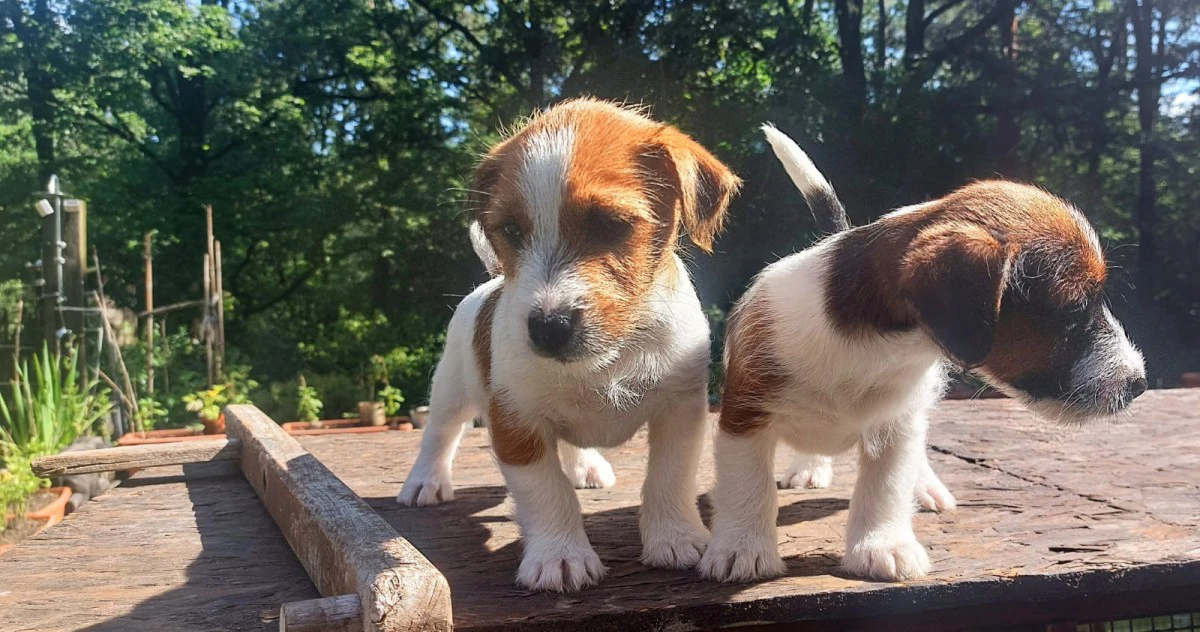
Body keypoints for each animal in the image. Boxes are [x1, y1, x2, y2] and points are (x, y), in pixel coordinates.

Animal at [398, 98, 744, 594]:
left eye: (610, 225)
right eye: (511, 230)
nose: (548, 326)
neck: (612, 354)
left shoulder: (680, 409)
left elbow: (668, 476)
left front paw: (677, 538)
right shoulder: (515, 420)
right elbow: (546, 491)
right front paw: (560, 556)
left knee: (570, 443)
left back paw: (587, 467)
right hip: (450, 388)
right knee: (439, 433)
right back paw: (425, 482)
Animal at [700, 125, 1147, 585]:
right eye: (1074, 310)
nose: (1139, 383)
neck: (880, 351)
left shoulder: (896, 426)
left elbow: (884, 490)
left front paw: (882, 544)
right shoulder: (744, 416)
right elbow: (748, 485)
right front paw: (742, 548)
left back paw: (923, 485)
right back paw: (810, 467)